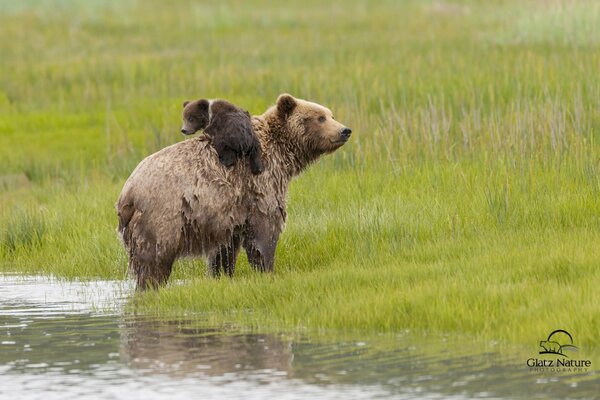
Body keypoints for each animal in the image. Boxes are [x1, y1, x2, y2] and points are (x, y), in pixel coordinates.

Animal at [116, 93, 352, 290]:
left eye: (330, 114)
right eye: (320, 118)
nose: (345, 130)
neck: (282, 154)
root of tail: (127, 194)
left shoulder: (228, 214)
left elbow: (225, 250)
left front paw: (222, 274)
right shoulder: (259, 185)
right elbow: (265, 232)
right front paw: (267, 269)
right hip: (162, 217)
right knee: (155, 258)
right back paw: (152, 284)